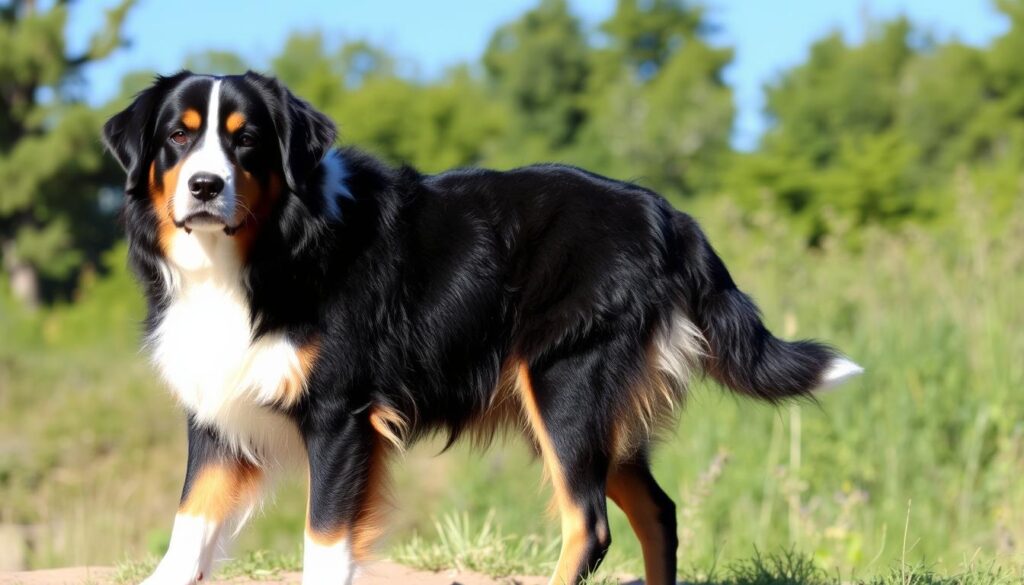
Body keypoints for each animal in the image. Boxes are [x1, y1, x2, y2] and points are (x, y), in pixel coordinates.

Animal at [103, 72, 860, 585]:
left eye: (247, 141)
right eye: (177, 136)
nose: (204, 186)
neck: (259, 255)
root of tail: (666, 213)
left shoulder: (340, 415)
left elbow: (324, 545)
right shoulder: (217, 410)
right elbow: (188, 530)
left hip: (565, 385)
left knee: (589, 523)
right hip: (597, 410)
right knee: (659, 513)